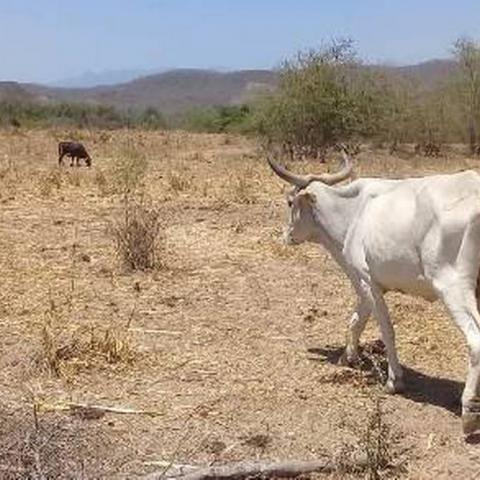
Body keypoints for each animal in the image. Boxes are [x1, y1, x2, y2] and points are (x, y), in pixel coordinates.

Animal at [268, 153, 480, 436]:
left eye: (290, 201)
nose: (286, 236)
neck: (352, 213)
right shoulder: (363, 283)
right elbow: (356, 320)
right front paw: (349, 356)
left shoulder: (367, 280)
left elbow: (385, 329)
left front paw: (394, 381)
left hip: (454, 287)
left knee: (475, 340)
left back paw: (469, 412)